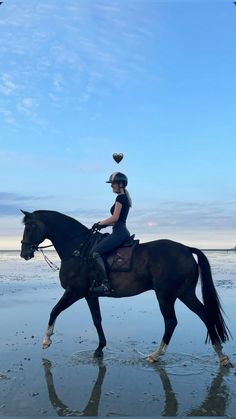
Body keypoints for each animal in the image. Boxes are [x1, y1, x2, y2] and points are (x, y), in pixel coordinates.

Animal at [19, 212, 230, 366]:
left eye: (30, 227)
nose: (24, 253)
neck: (77, 250)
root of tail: (186, 249)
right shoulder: (89, 295)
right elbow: (97, 320)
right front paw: (99, 349)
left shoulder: (74, 292)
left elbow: (54, 310)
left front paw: (46, 340)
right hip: (185, 294)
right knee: (205, 314)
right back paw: (221, 355)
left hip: (166, 296)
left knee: (171, 322)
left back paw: (156, 355)